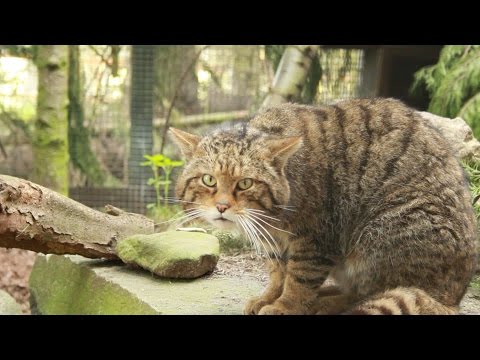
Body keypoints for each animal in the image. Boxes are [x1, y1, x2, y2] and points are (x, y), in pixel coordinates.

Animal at [169, 98, 476, 316]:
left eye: (245, 183)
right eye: (208, 180)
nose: (222, 206)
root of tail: (453, 297)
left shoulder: (317, 237)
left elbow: (299, 279)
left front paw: (285, 306)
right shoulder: (275, 242)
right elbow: (278, 273)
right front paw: (269, 297)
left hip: (381, 233)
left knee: (368, 293)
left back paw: (323, 303)